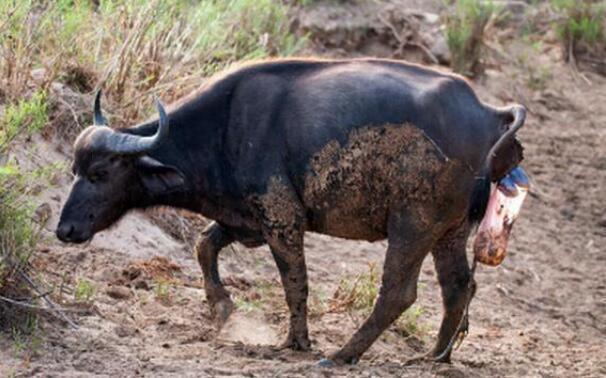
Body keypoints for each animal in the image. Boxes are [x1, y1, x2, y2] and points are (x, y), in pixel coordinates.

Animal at [54, 57, 524, 364]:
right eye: (75, 169)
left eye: (99, 172)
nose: (65, 230)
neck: (227, 127)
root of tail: (488, 113)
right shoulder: (245, 219)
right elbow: (205, 246)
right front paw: (223, 310)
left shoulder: (282, 219)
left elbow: (294, 283)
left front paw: (295, 342)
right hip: (449, 232)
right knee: (458, 287)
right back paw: (435, 358)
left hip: (413, 225)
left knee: (398, 293)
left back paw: (342, 355)